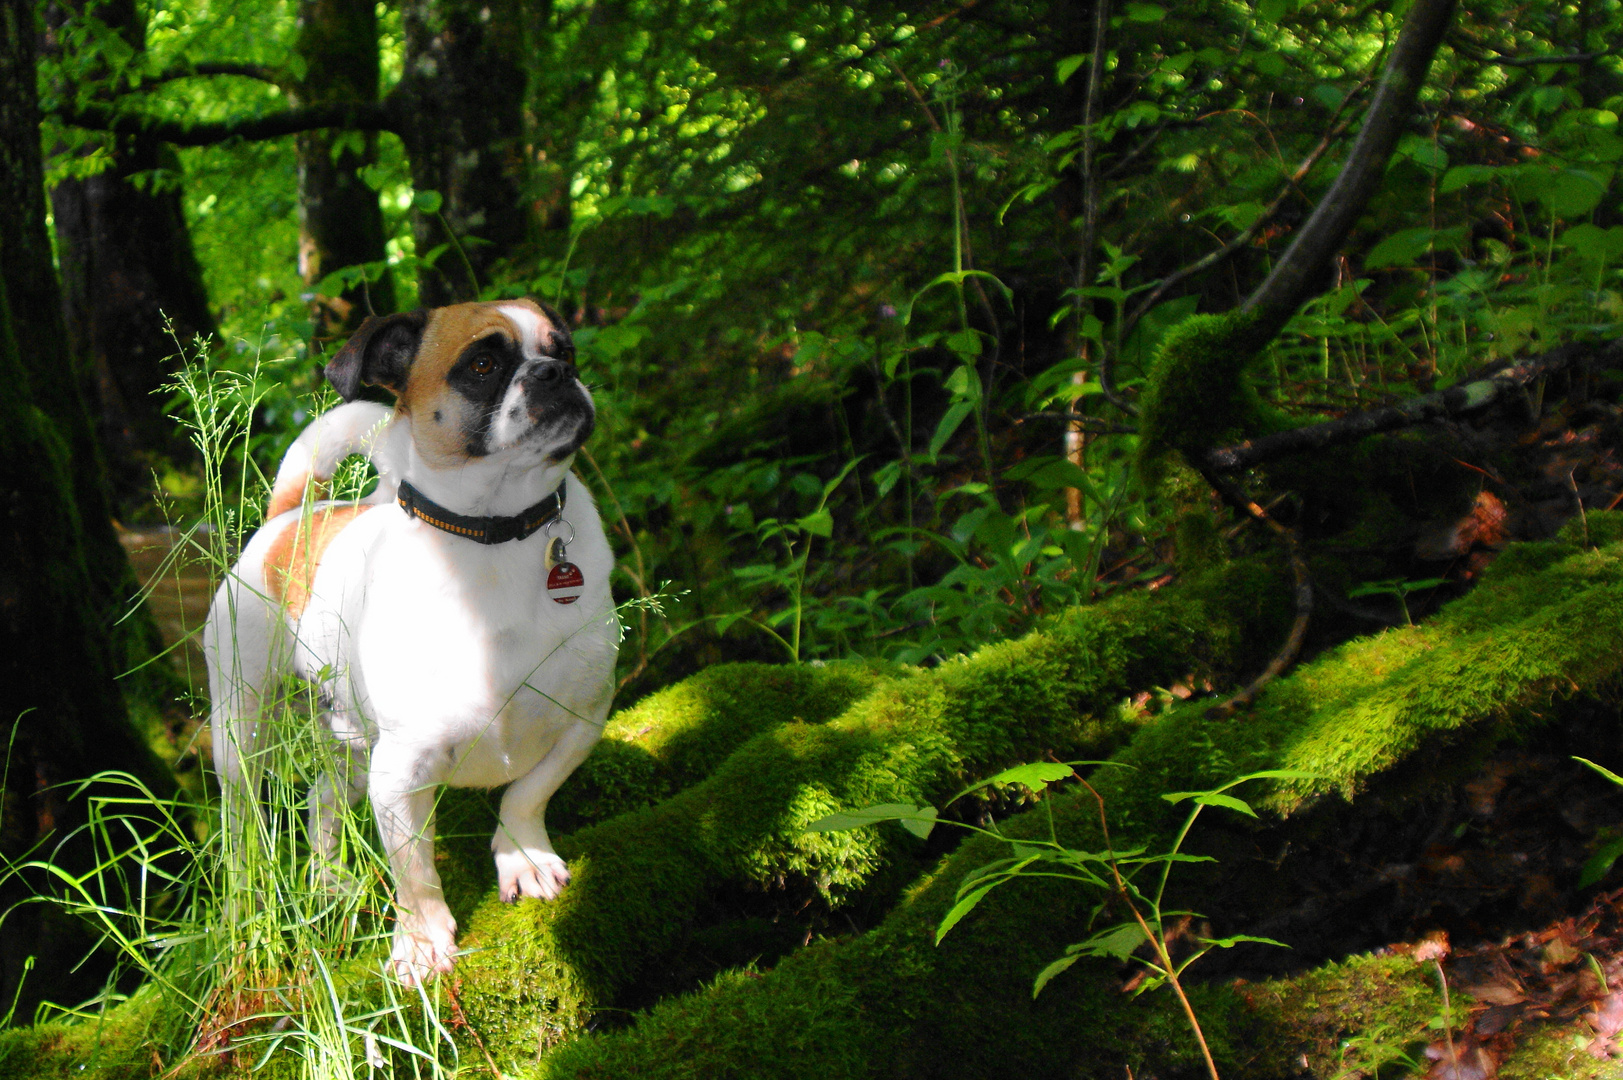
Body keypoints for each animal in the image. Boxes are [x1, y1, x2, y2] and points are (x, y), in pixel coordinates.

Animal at [198, 298, 613, 980]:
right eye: (482, 365)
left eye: (566, 349)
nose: (554, 373)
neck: (494, 533)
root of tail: (292, 517)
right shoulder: (400, 771)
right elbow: (415, 874)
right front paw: (422, 942)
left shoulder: (582, 720)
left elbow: (526, 795)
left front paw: (522, 857)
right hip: (243, 729)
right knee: (242, 827)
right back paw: (244, 905)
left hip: (348, 740)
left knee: (321, 799)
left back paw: (333, 881)